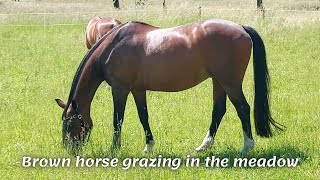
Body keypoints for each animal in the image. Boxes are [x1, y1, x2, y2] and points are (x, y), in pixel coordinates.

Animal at [55, 18, 284, 155]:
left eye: (70, 123)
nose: (69, 152)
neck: (113, 46)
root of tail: (241, 27)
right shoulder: (138, 90)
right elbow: (143, 116)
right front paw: (148, 147)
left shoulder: (120, 90)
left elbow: (117, 120)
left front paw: (114, 150)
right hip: (218, 82)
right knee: (219, 110)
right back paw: (203, 146)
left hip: (230, 82)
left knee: (243, 108)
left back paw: (246, 147)